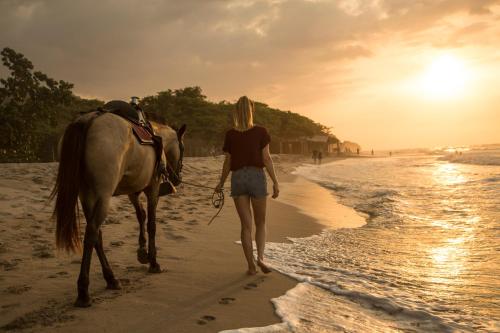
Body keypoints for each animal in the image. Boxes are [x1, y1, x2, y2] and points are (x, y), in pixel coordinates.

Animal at [50, 111, 186, 306]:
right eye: (183, 148)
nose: (177, 179)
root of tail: (88, 120)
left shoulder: (133, 191)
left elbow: (141, 215)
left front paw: (142, 252)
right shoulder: (153, 189)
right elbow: (151, 224)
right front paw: (153, 261)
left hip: (86, 195)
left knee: (96, 235)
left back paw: (111, 278)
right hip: (103, 196)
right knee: (91, 233)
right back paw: (83, 291)